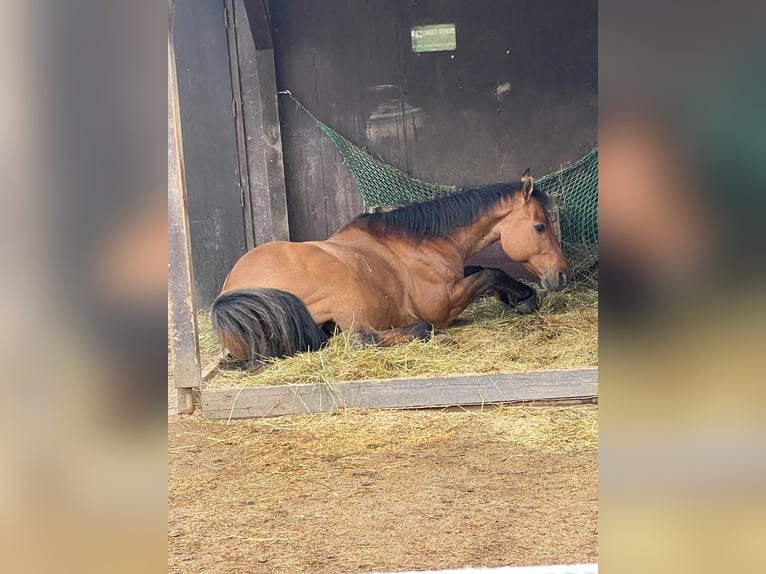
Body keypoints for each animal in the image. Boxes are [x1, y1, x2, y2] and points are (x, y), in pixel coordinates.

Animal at [212, 171, 568, 366]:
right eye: (540, 226)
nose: (561, 274)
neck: (418, 243)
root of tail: (227, 298)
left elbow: (484, 269)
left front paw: (518, 295)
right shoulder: (442, 304)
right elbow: (490, 273)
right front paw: (522, 297)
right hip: (347, 300)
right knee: (364, 339)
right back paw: (429, 334)